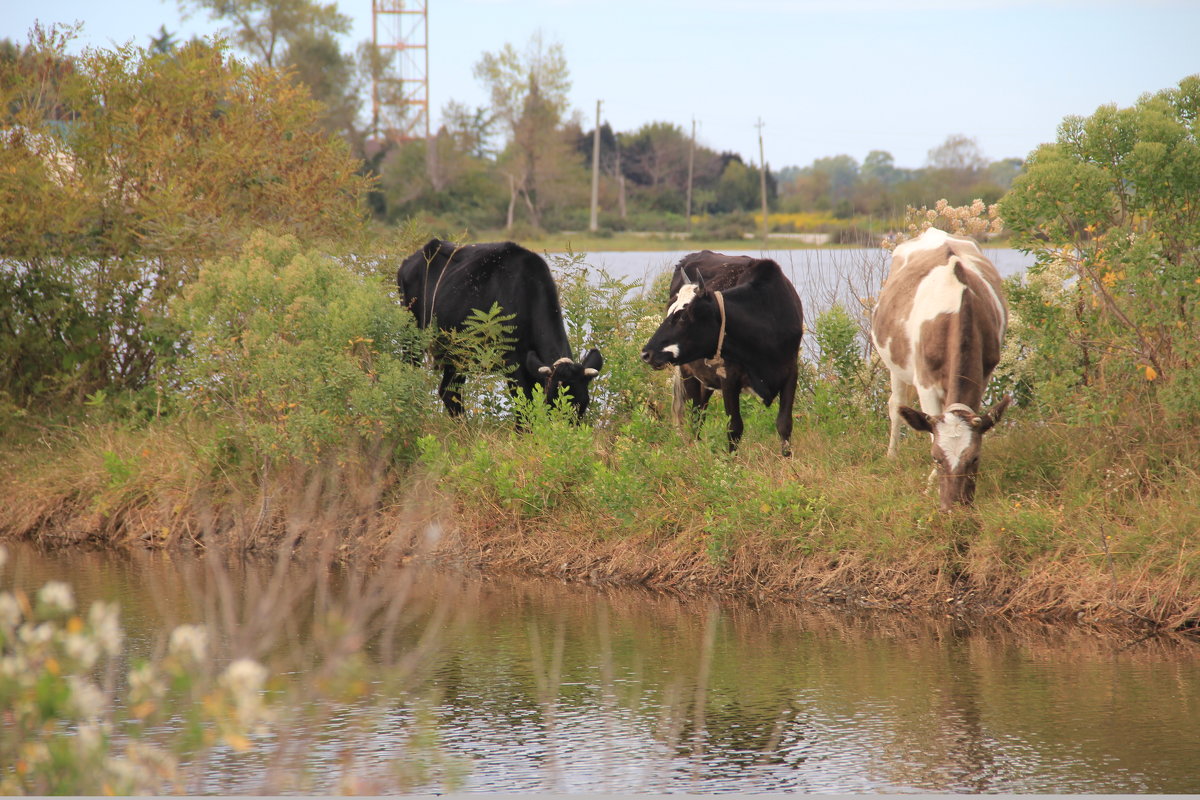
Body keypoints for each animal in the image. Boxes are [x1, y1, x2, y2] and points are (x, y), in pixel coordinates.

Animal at [396, 239, 604, 419]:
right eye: (551, 402)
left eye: (584, 404)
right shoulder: (512, 360)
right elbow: (523, 401)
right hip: (412, 335)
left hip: (457, 354)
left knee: (450, 392)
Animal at [643, 253, 801, 460]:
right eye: (670, 310)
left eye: (683, 316)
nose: (646, 353)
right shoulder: (728, 377)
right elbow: (734, 427)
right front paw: (732, 464)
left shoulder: (791, 371)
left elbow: (784, 423)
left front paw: (788, 461)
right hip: (688, 373)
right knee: (695, 416)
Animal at [873, 227, 1012, 510]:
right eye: (936, 457)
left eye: (975, 458)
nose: (953, 507)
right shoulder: (925, 383)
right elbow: (929, 428)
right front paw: (930, 485)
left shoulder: (983, 376)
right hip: (894, 362)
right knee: (896, 404)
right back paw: (892, 455)